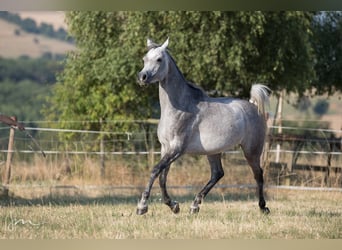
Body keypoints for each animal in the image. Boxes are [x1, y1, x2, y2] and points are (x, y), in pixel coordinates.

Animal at [136, 37, 270, 215]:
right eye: (144, 59)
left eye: (159, 59)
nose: (142, 77)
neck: (180, 107)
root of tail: (254, 106)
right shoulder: (166, 148)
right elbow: (163, 177)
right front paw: (173, 205)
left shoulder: (177, 149)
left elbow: (155, 171)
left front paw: (142, 206)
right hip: (213, 152)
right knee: (217, 174)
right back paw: (194, 205)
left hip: (251, 151)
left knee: (258, 175)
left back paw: (263, 207)